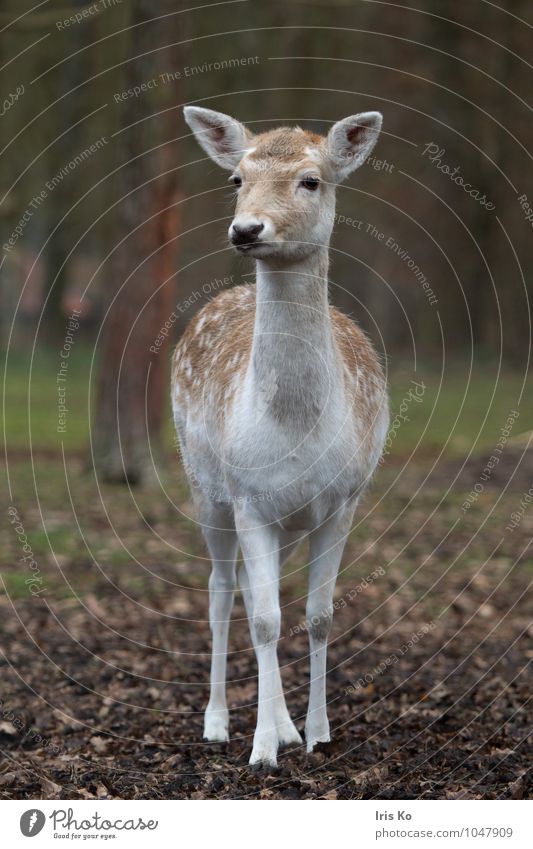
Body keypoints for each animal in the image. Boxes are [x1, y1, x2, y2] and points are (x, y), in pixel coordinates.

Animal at [172, 102, 388, 764]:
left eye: (311, 180)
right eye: (235, 178)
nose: (247, 230)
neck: (295, 426)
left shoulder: (342, 500)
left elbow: (317, 616)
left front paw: (315, 733)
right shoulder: (248, 497)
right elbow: (266, 618)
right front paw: (263, 749)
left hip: (289, 519)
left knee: (248, 588)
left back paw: (289, 726)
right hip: (205, 485)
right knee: (222, 588)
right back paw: (219, 722)